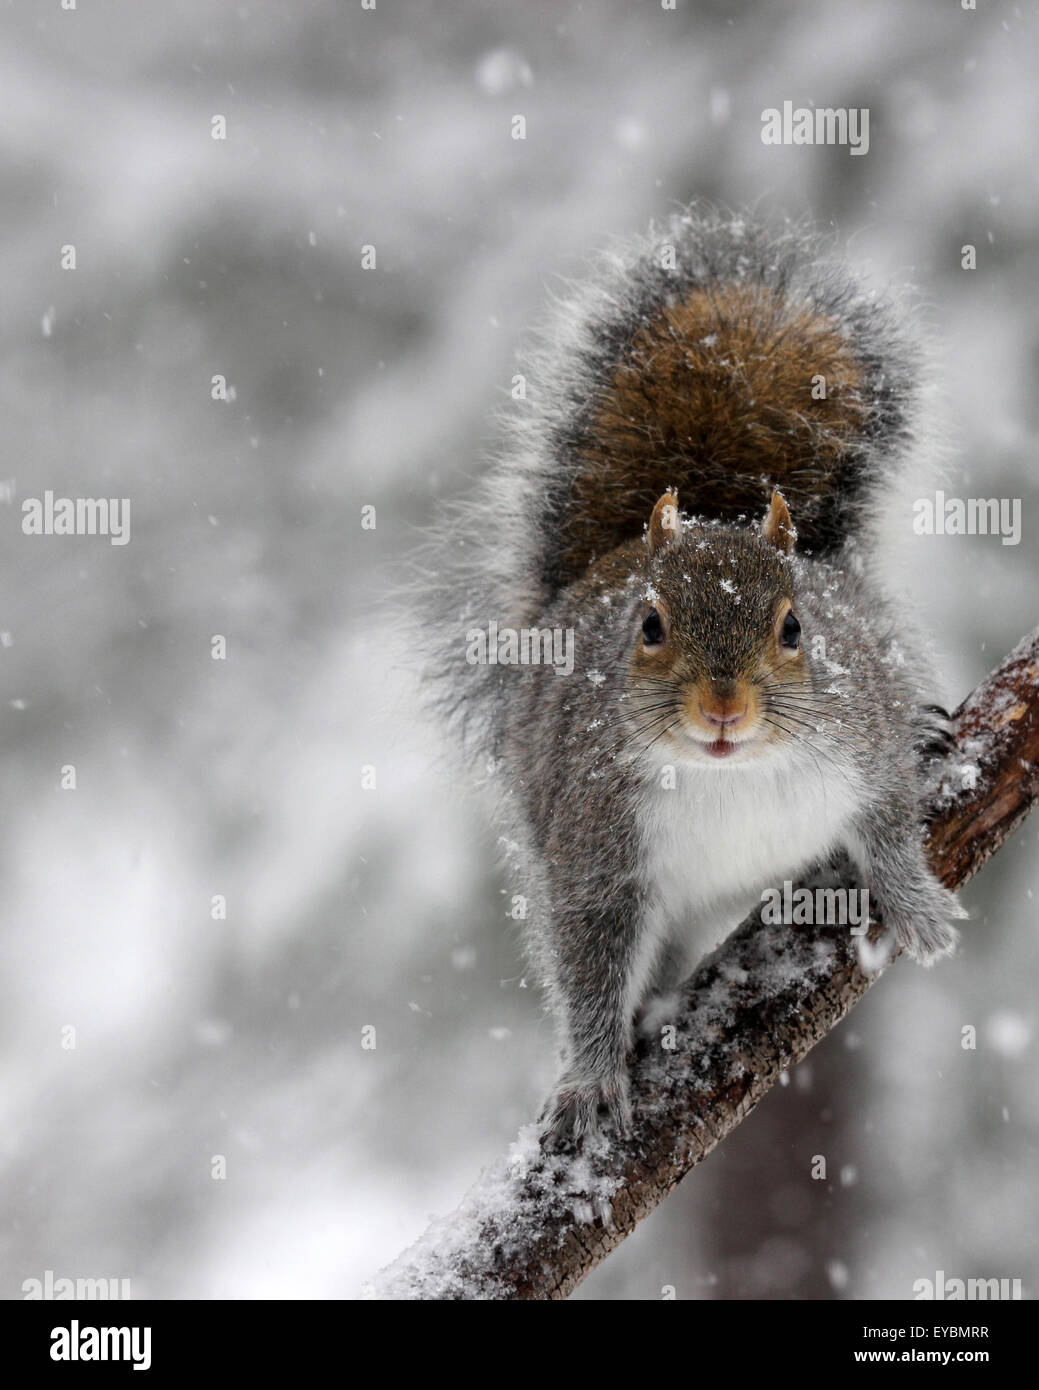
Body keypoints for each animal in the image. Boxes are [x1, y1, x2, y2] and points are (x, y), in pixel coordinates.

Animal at [425, 202, 962, 1139]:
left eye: (795, 627)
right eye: (648, 626)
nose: (722, 710)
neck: (730, 775)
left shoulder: (863, 742)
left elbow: (893, 828)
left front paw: (918, 908)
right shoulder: (595, 837)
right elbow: (588, 956)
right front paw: (590, 1077)